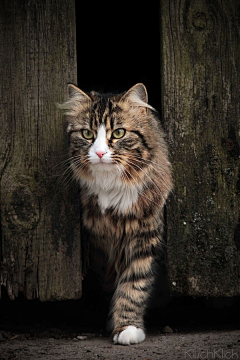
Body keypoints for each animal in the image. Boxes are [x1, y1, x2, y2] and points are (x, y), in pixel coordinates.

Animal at [59, 83, 172, 344]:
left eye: (119, 133)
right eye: (87, 134)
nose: (100, 153)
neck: (111, 187)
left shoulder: (145, 239)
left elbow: (134, 286)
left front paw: (127, 328)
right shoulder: (99, 246)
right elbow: (110, 281)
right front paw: (115, 320)